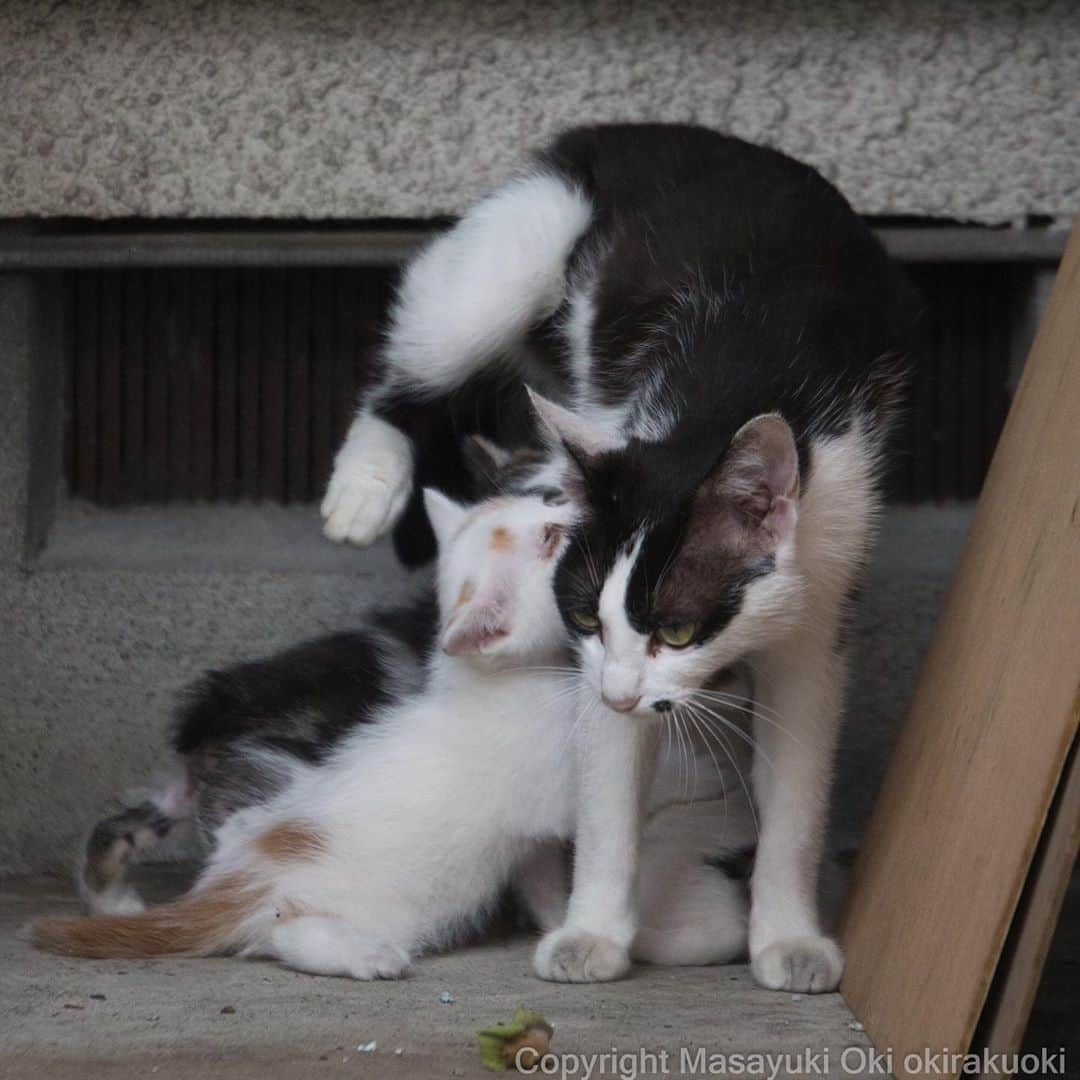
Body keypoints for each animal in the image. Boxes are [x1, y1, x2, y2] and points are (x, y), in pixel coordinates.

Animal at [315, 122, 915, 989]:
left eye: (679, 630)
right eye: (583, 619)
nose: (625, 693)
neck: (722, 397)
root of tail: (641, 128)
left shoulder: (823, 587)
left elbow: (796, 789)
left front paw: (790, 937)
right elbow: (605, 788)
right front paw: (591, 930)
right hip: (521, 244)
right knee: (425, 353)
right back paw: (367, 481)